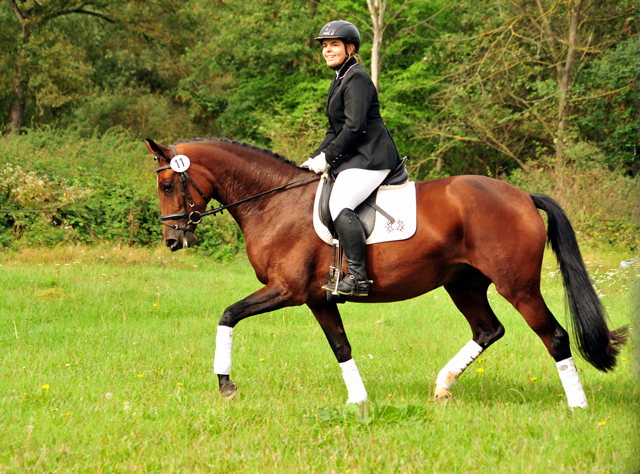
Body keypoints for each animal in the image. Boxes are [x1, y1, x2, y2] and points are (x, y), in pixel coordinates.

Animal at [144, 137, 624, 408]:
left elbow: (227, 315)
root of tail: (523, 196)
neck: (274, 201)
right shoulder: (317, 298)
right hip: (463, 283)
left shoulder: (287, 290)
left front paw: (225, 385)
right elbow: (341, 346)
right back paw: (442, 388)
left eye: (167, 185)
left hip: (518, 286)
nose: (172, 241)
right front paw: (358, 400)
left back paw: (577, 407)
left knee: (554, 336)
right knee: (488, 330)